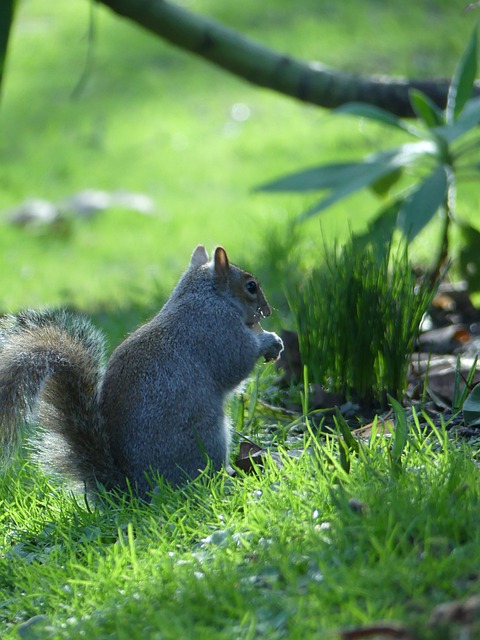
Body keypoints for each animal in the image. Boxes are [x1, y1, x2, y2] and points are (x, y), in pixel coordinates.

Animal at [0, 242, 284, 498]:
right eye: (251, 286)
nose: (269, 311)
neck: (206, 295)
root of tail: (130, 492)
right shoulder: (217, 330)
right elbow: (238, 360)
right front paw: (270, 341)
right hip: (207, 436)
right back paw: (226, 481)